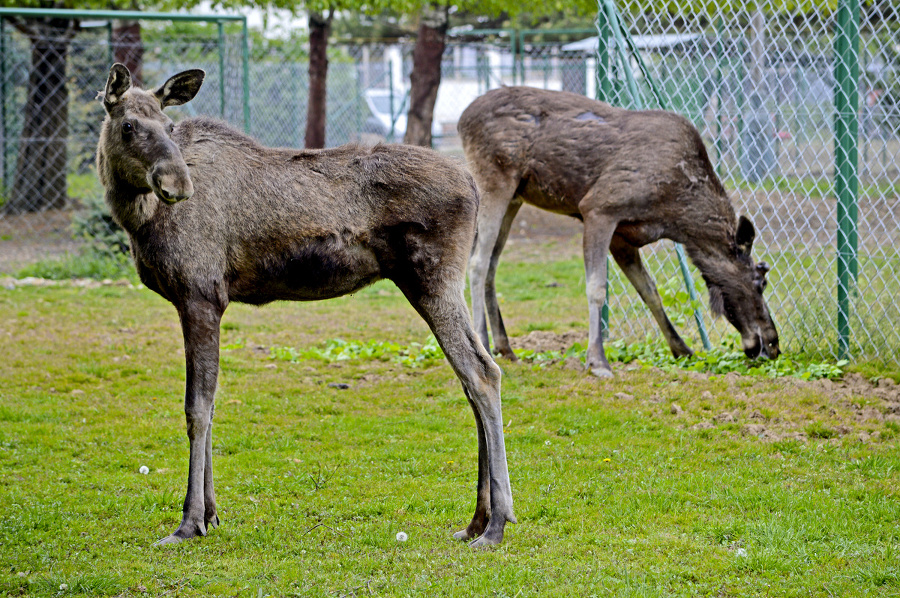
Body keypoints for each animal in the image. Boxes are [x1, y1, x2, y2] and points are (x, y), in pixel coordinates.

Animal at [96, 64, 516, 548]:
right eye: (128, 125)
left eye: (168, 126)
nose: (177, 185)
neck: (140, 221)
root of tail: (472, 186)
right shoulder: (201, 302)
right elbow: (211, 405)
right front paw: (212, 513)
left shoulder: (200, 295)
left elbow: (196, 408)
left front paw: (189, 521)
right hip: (432, 283)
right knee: (471, 377)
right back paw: (477, 520)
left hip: (434, 280)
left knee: (483, 372)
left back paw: (497, 524)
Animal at [460, 86, 776, 378]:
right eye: (760, 282)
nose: (773, 344)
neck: (676, 216)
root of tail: (462, 120)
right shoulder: (598, 209)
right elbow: (597, 288)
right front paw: (597, 361)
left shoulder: (624, 237)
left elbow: (650, 292)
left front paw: (682, 348)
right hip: (494, 181)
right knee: (477, 262)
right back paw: (484, 343)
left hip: (516, 196)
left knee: (492, 264)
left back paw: (505, 346)